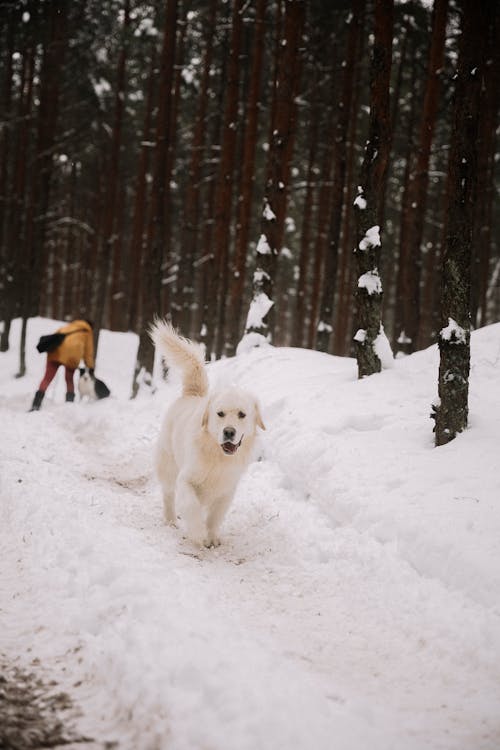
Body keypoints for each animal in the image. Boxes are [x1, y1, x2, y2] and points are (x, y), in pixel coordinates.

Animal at [149, 320, 264, 548]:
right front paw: (197, 533)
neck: (218, 456)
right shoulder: (186, 479)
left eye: (242, 414)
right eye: (220, 413)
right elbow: (191, 505)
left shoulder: (227, 490)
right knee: (168, 494)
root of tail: (192, 394)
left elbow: (215, 516)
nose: (229, 432)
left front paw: (211, 536)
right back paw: (170, 519)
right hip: (168, 465)